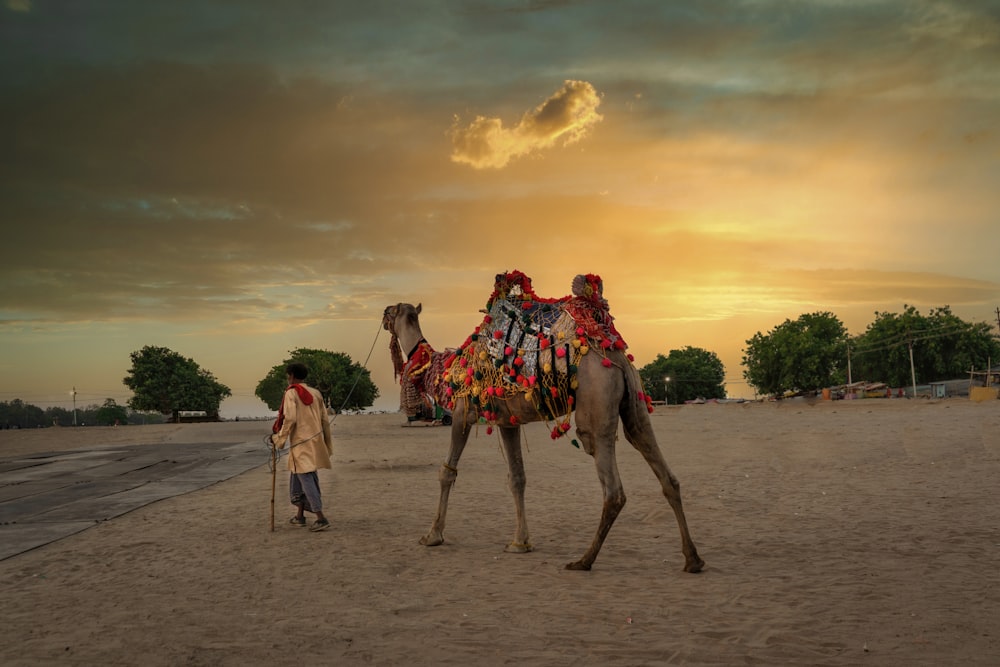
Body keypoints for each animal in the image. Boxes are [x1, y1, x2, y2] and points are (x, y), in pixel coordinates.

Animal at [382, 272, 704, 576]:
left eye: (394, 310)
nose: (384, 313)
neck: (444, 371)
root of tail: (615, 356)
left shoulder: (462, 412)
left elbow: (447, 472)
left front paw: (432, 536)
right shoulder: (507, 420)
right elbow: (517, 478)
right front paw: (520, 542)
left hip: (595, 408)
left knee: (613, 490)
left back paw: (583, 561)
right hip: (635, 403)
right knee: (663, 471)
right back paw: (693, 559)